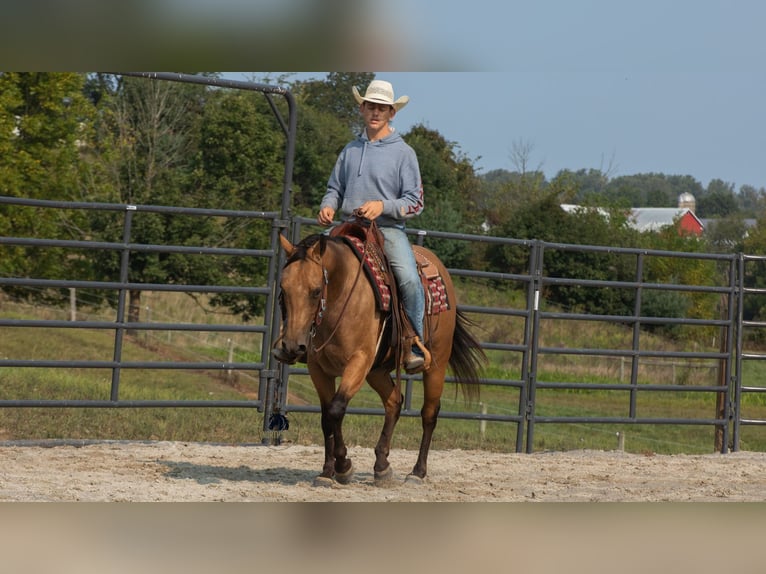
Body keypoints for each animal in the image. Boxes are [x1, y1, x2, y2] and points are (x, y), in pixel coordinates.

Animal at [273, 224, 486, 485]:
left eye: (315, 291)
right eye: (283, 289)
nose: (292, 347)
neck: (341, 295)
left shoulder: (359, 361)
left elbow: (336, 410)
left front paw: (343, 467)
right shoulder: (319, 369)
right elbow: (326, 418)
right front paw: (327, 472)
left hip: (436, 362)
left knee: (429, 413)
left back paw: (417, 472)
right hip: (377, 370)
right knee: (394, 402)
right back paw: (382, 466)